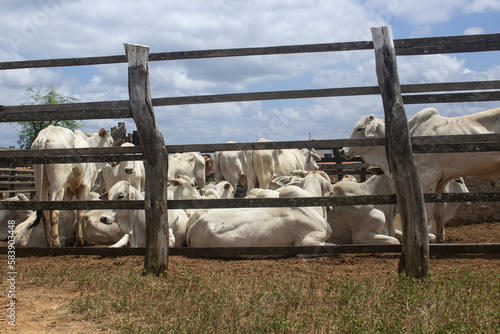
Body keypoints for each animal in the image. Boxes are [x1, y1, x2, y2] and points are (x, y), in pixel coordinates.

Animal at [342, 108, 498, 241]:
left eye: (360, 128)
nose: (343, 150)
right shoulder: (440, 182)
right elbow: (437, 213)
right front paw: (439, 239)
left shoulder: (427, 178)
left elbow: (427, 214)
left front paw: (429, 237)